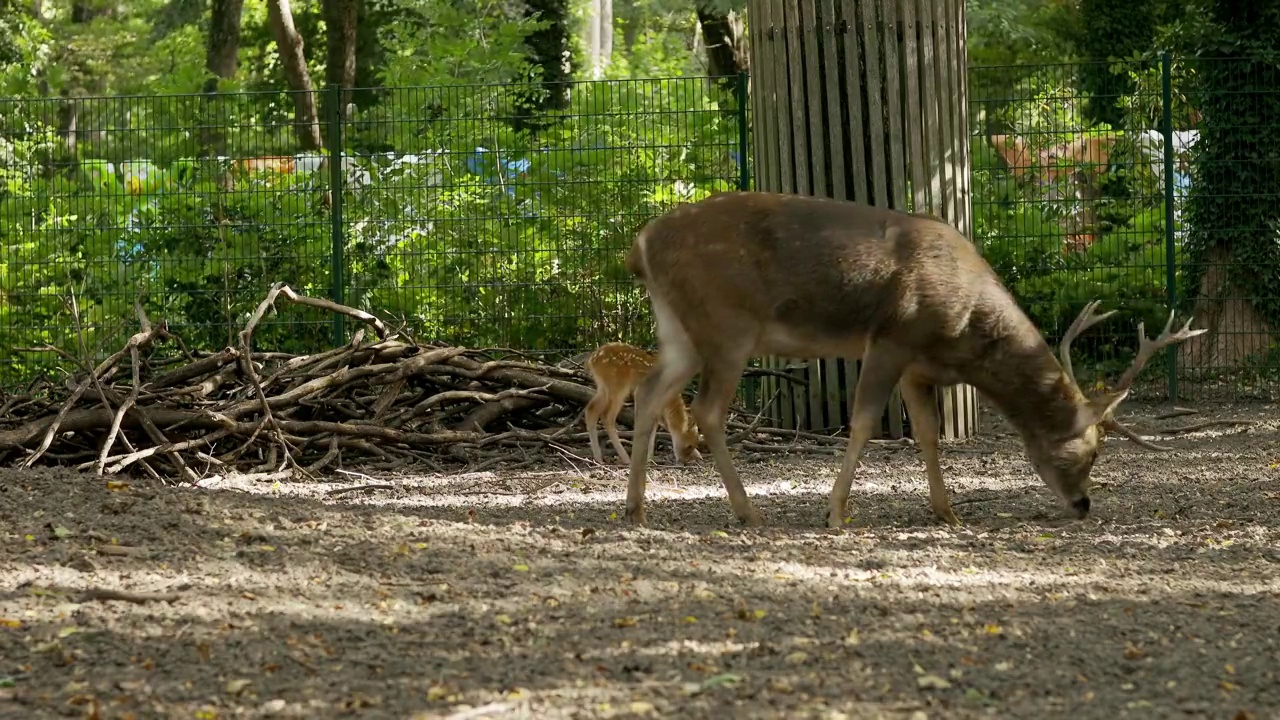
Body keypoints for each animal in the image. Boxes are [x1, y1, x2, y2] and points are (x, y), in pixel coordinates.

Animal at [619, 190, 1198, 527]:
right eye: (1094, 450)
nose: (1083, 506)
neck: (963, 332)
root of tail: (639, 244)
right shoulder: (892, 338)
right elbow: (862, 422)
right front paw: (835, 512)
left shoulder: (920, 368)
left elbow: (927, 433)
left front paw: (946, 512)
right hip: (728, 324)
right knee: (707, 411)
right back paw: (747, 511)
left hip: (679, 331)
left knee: (648, 392)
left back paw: (635, 507)